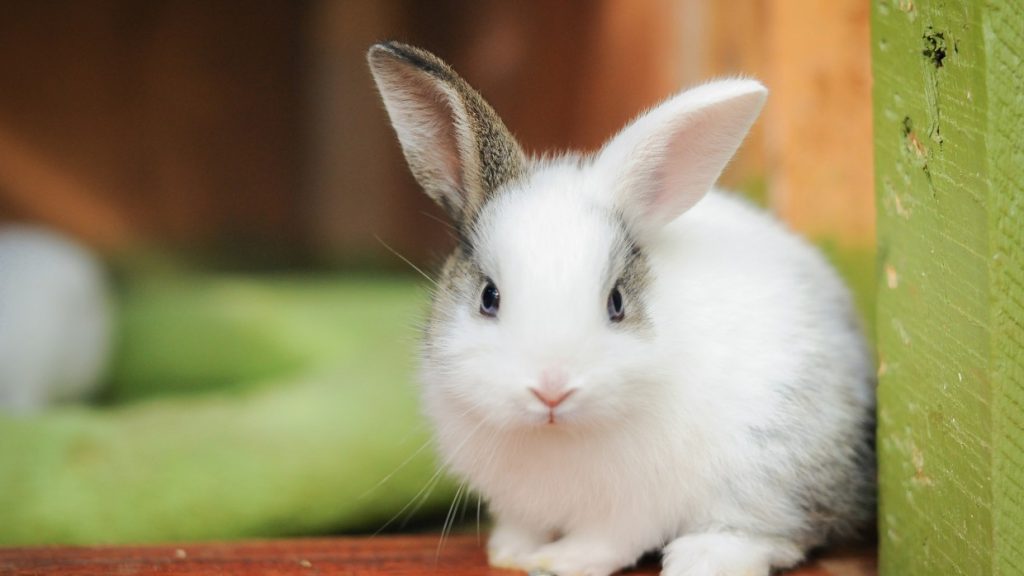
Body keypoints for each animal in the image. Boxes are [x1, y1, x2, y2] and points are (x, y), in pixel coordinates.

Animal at [368, 42, 875, 576]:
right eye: (489, 297)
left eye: (616, 302)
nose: (552, 390)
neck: (555, 435)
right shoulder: (517, 503)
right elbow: (523, 525)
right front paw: (510, 553)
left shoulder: (633, 509)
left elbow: (608, 541)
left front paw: (556, 562)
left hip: (772, 467)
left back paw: (701, 558)